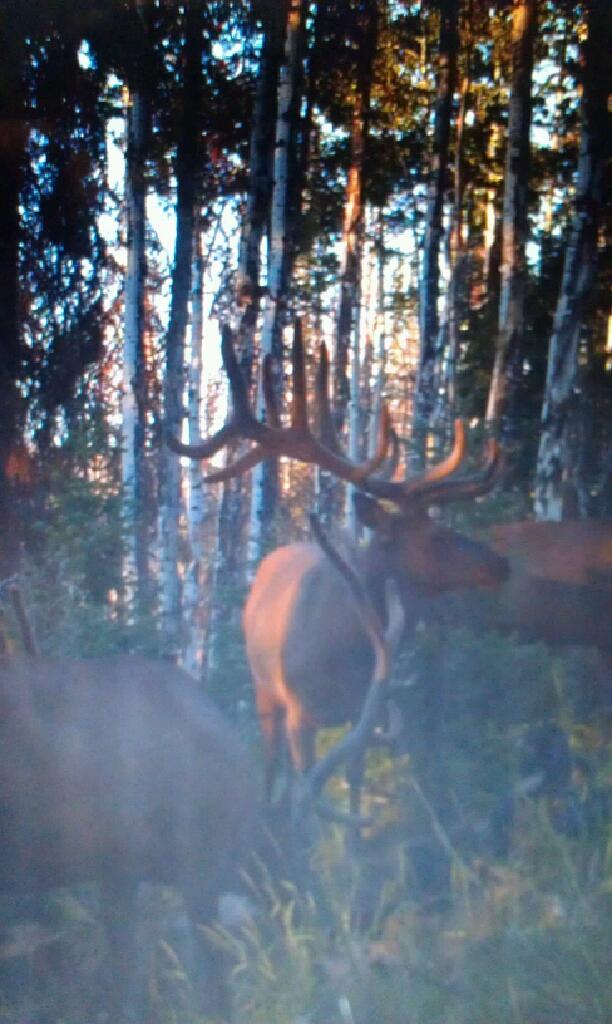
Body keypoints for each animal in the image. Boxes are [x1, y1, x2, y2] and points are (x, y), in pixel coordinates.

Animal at [167, 321, 507, 806]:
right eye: (435, 535)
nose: (500, 563)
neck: (349, 647)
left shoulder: (365, 713)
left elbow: (354, 786)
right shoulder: (299, 713)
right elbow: (305, 794)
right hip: (263, 692)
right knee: (270, 767)